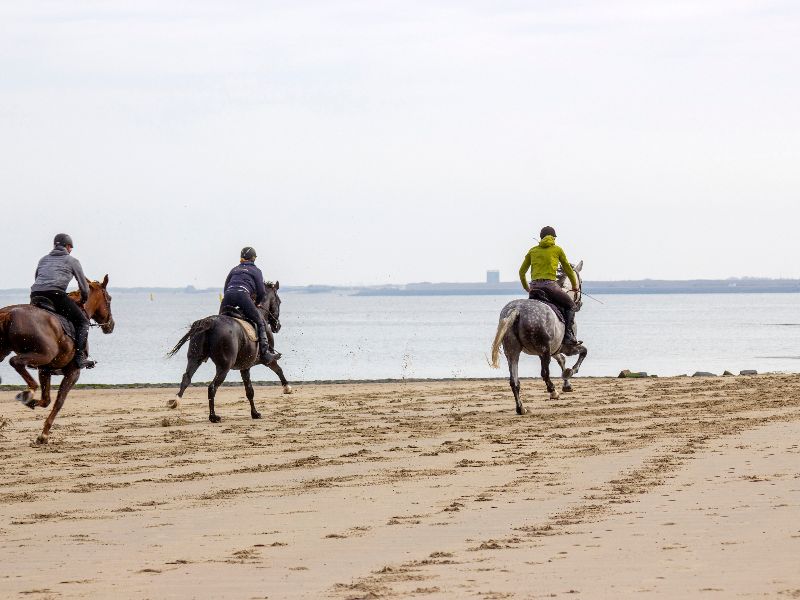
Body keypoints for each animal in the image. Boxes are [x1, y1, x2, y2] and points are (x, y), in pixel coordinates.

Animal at [0, 276, 115, 440]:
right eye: (109, 299)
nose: (111, 325)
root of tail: (8, 313)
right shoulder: (73, 372)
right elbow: (59, 402)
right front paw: (44, 435)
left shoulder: (44, 370)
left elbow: (46, 400)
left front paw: (33, 404)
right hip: (42, 355)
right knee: (15, 361)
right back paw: (29, 391)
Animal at [167, 282, 292, 422]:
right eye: (279, 301)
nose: (277, 326)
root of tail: (209, 322)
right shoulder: (266, 359)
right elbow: (278, 369)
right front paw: (287, 388)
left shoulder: (245, 366)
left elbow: (249, 391)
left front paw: (254, 413)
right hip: (224, 366)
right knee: (212, 387)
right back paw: (213, 416)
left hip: (195, 359)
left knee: (186, 378)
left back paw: (175, 402)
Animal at [488, 260, 588, 414]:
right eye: (581, 281)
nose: (579, 304)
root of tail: (517, 310)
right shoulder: (566, 347)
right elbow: (582, 352)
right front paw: (569, 373)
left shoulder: (555, 349)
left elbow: (562, 360)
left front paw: (567, 384)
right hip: (543, 350)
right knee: (544, 373)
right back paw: (553, 392)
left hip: (513, 352)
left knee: (514, 381)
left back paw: (521, 408)